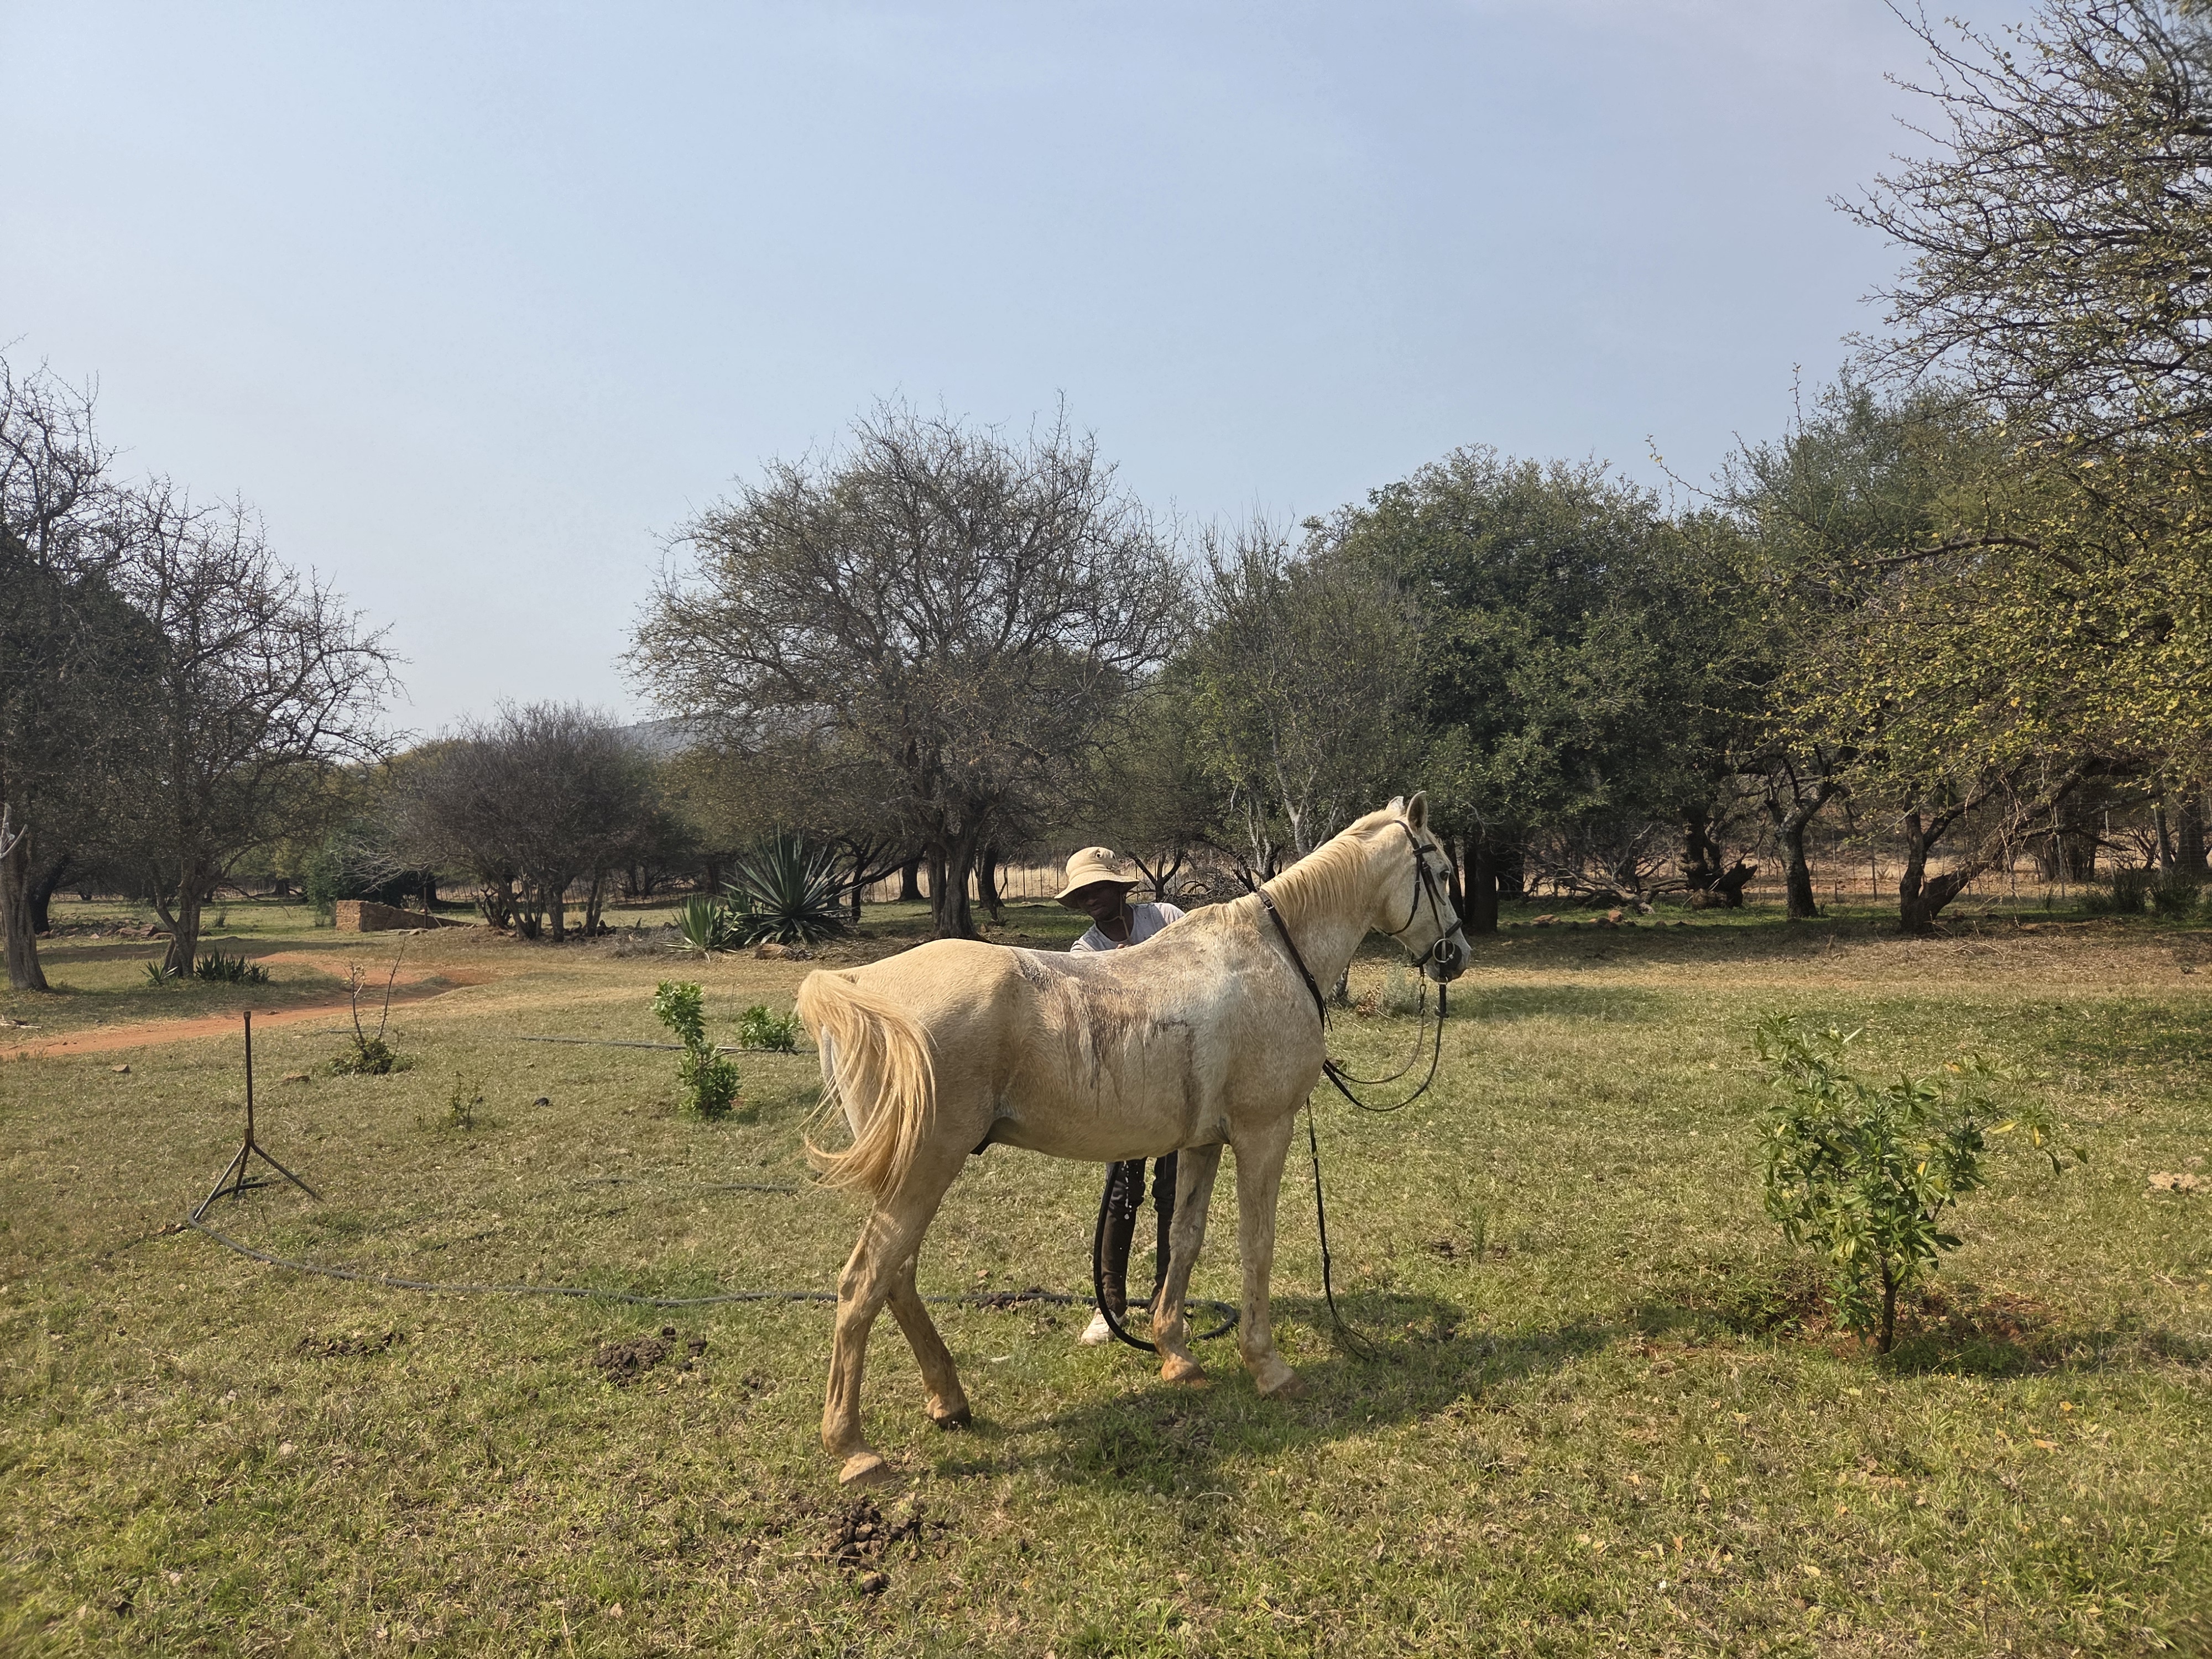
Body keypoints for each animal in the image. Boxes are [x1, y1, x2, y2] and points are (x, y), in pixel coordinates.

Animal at [793, 793, 1469, 1485]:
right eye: (1443, 872)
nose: (1456, 954)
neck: (1274, 954)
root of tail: (859, 987)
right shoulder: (1263, 1133)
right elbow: (1257, 1246)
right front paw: (1268, 1367)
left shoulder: (1203, 1142)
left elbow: (1184, 1239)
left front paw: (1176, 1352)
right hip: (925, 1169)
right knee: (864, 1283)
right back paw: (854, 1448)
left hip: (913, 1175)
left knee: (897, 1280)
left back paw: (948, 1400)